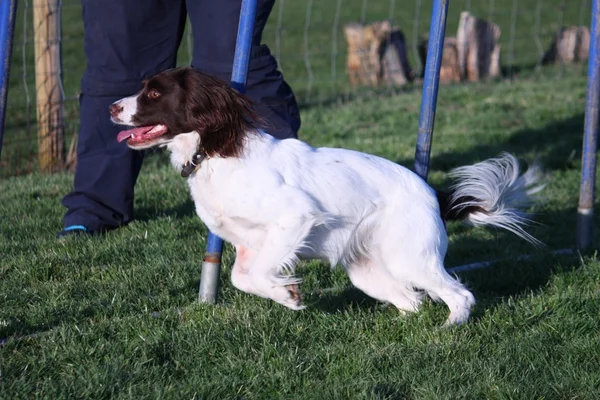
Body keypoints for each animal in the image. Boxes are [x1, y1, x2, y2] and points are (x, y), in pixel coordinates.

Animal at [109, 66, 544, 324]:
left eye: (154, 94)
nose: (112, 107)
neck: (215, 151)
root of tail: (434, 193)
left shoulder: (294, 216)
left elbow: (257, 273)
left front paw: (287, 293)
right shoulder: (249, 244)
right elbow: (241, 277)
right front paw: (286, 294)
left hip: (411, 258)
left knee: (459, 294)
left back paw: (451, 328)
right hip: (368, 271)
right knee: (412, 301)